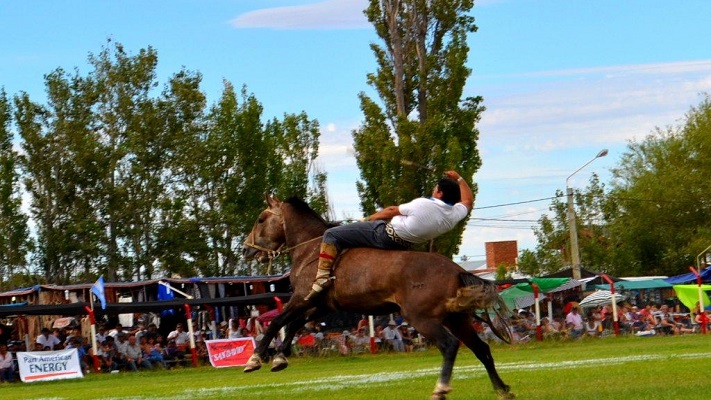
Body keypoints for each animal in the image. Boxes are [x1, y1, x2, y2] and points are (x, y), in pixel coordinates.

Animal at [242, 197, 516, 400]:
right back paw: (502, 389)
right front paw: (279, 356)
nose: (246, 249)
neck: (312, 248)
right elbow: (293, 325)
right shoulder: (321, 305)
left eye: (260, 218)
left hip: (423, 319)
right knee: (481, 348)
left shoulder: (302, 297)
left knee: (449, 345)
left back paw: (440, 389)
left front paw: (256, 359)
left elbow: (278, 322)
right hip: (456, 318)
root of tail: (456, 270)